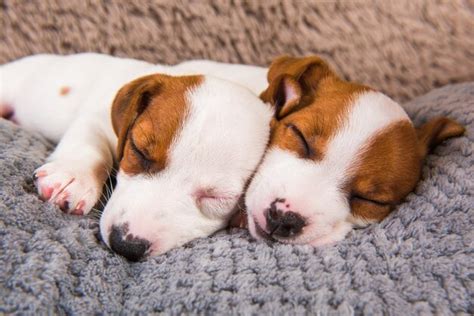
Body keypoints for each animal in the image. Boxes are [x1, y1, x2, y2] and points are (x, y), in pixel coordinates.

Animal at [0, 53, 272, 260]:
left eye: (216, 197)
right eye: (139, 152)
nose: (125, 244)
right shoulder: (99, 119)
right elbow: (90, 145)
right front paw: (72, 176)